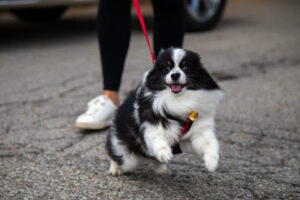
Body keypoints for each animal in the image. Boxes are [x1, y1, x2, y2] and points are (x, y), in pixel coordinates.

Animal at [105, 47, 223, 176]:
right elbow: (157, 138)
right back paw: (115, 168)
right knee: (115, 155)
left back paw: (161, 169)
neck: (178, 100)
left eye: (186, 68)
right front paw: (165, 154)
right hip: (126, 156)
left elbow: (210, 143)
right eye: (166, 69)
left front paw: (212, 163)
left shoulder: (200, 130)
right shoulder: (152, 124)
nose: (175, 75)